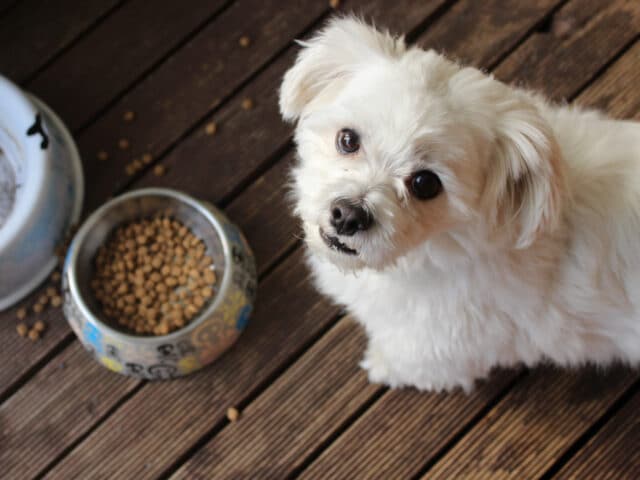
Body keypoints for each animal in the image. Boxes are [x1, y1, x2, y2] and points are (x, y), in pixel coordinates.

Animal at [278, 16, 640, 392]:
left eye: (425, 183)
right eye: (347, 139)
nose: (348, 216)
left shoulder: (440, 349)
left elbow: (409, 361)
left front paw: (380, 364)